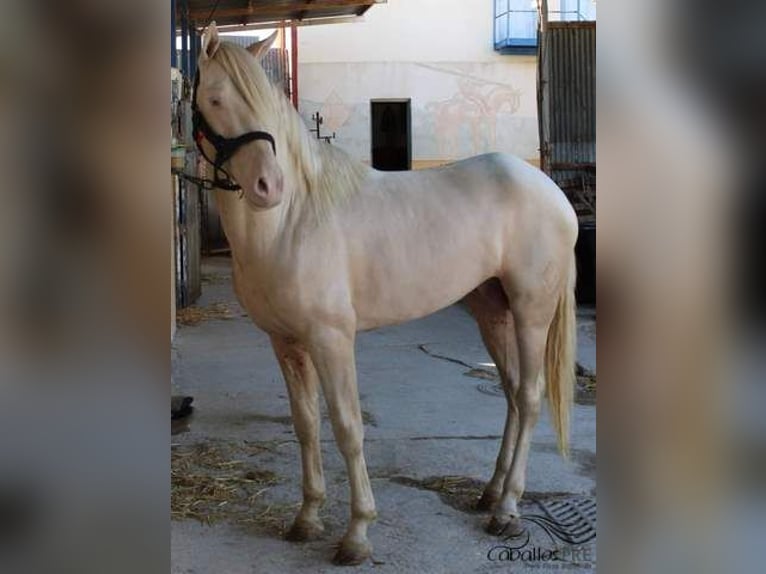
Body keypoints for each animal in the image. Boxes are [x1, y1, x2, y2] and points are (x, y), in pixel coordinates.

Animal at [195, 22, 580, 568]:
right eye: (214, 99)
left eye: (263, 102)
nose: (269, 187)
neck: (290, 223)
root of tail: (551, 191)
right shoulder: (285, 342)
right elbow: (305, 424)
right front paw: (306, 518)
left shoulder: (331, 338)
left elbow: (347, 427)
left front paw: (357, 533)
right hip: (492, 311)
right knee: (508, 392)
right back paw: (489, 493)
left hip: (532, 312)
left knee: (528, 397)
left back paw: (507, 510)